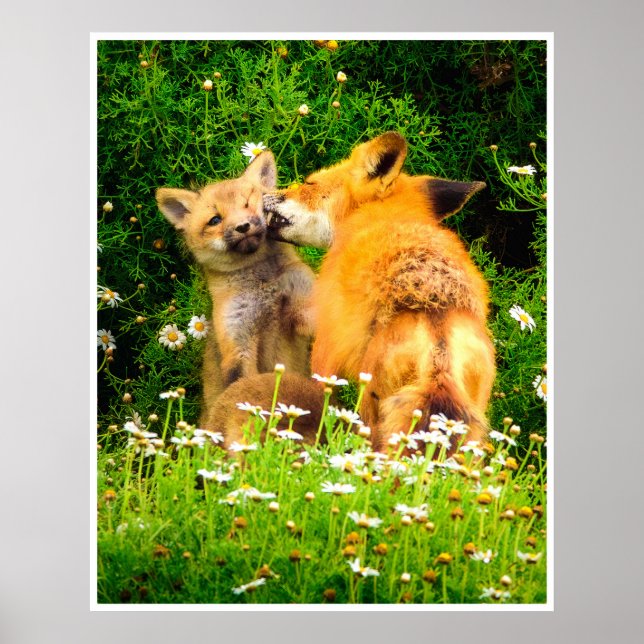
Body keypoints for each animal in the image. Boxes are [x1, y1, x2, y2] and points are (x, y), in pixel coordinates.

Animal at [156, 151, 315, 431]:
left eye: (249, 204)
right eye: (215, 220)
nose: (242, 226)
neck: (265, 289)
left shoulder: (303, 306)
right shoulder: (237, 342)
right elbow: (243, 388)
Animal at [263, 132, 495, 452]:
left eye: (309, 184)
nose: (260, 195)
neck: (381, 216)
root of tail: (439, 346)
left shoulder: (325, 349)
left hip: (372, 409)